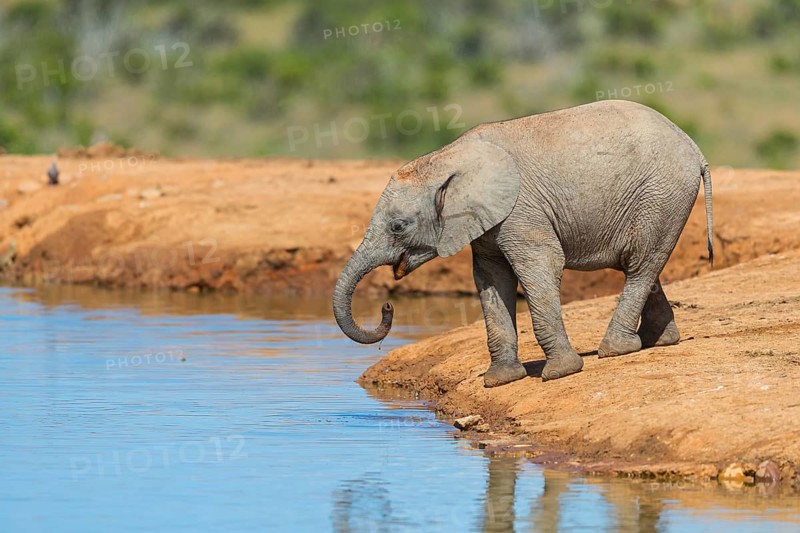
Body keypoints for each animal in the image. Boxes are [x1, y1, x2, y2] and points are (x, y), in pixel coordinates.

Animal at [333, 100, 713, 387]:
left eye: (398, 226)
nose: (387, 307)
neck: (443, 159)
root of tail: (694, 146)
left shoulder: (521, 210)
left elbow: (539, 268)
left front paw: (560, 374)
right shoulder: (486, 223)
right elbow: (491, 281)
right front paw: (500, 381)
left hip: (662, 193)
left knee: (639, 265)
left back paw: (615, 350)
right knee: (644, 263)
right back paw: (657, 341)